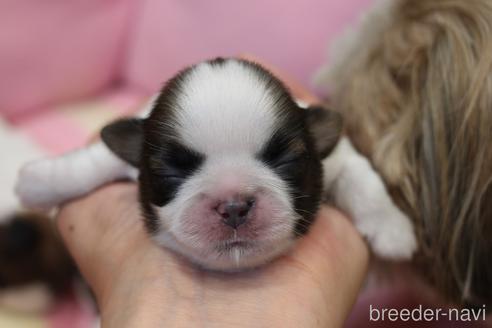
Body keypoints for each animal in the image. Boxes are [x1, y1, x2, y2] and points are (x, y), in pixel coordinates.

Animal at [14, 57, 416, 270]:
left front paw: (393, 230)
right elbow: (93, 159)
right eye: (171, 171)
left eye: (285, 160)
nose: (233, 205)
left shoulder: (338, 157)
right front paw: (40, 183)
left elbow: (365, 183)